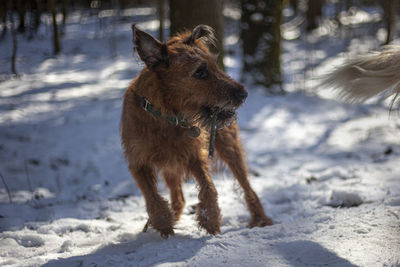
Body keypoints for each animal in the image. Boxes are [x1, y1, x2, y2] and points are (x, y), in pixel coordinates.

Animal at [120, 24, 274, 239]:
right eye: (200, 72)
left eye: (215, 66)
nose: (244, 94)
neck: (166, 116)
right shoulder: (139, 163)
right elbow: (152, 197)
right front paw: (164, 225)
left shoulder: (195, 156)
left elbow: (209, 188)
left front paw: (211, 222)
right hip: (170, 165)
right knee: (177, 196)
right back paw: (173, 217)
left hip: (228, 147)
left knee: (246, 185)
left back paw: (260, 219)